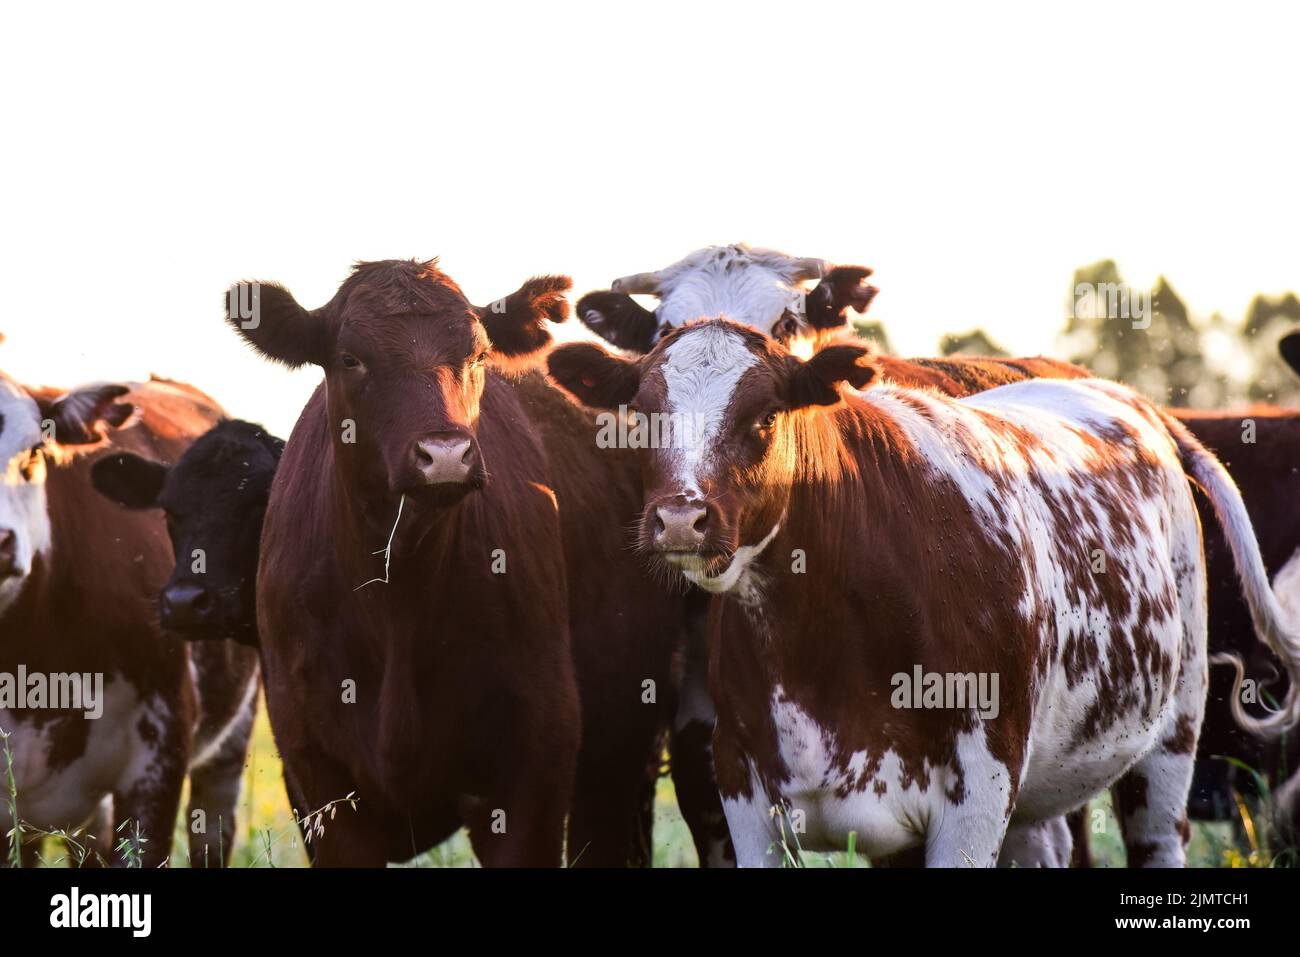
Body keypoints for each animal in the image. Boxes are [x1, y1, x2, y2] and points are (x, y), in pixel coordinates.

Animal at [226, 260, 584, 866]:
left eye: (478, 355)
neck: (397, 602)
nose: (445, 455)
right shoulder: (317, 774)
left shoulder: (537, 765)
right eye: (350, 358)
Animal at [548, 319, 1300, 866]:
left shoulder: (978, 794)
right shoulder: (745, 791)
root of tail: (1121, 396)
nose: (680, 517)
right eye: (642, 414)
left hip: (1170, 741)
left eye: (764, 416)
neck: (818, 634)